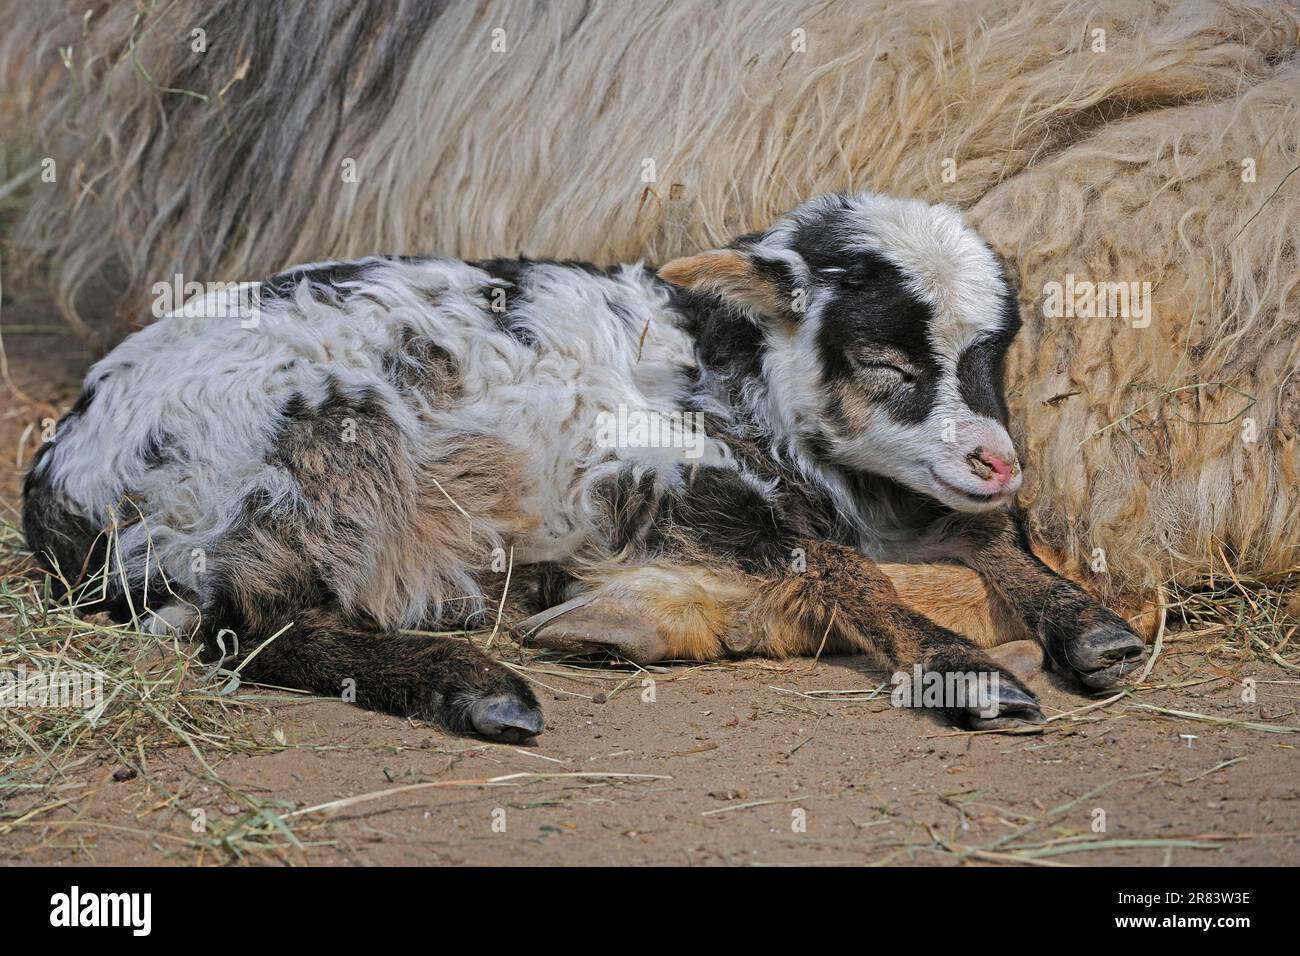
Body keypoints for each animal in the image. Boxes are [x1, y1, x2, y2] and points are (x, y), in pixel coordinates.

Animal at [25, 192, 1149, 738]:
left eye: (994, 358)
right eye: (886, 363)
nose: (998, 461)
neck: (719, 364)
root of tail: (60, 474)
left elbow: (971, 537)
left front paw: (1093, 629)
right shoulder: (665, 469)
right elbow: (834, 564)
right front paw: (967, 673)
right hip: (309, 457)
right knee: (248, 621)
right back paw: (479, 687)